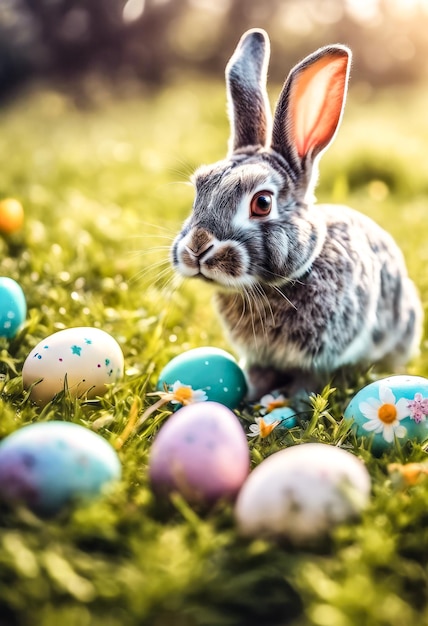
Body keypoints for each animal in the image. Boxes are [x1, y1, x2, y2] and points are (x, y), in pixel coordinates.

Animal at [170, 26, 422, 398]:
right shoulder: (259, 357)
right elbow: (256, 374)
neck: (267, 289)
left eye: (262, 203)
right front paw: (253, 396)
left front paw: (291, 402)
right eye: (199, 189)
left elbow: (309, 382)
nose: (197, 247)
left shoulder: (321, 357)